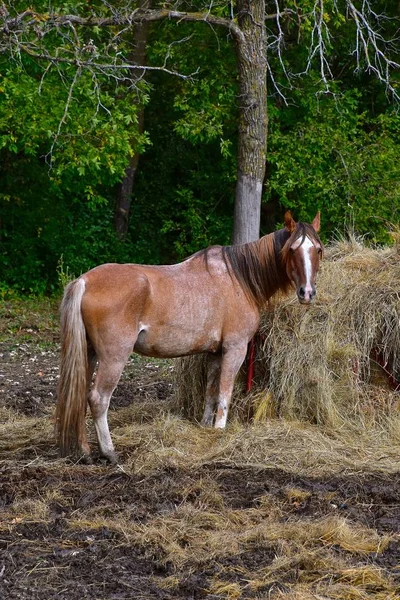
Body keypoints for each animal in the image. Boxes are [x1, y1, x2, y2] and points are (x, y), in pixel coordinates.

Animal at [55, 212, 322, 464]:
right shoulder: (234, 349)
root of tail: (84, 281)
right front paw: (220, 431)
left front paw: (205, 427)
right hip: (114, 358)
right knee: (98, 399)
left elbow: (211, 393)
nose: (307, 293)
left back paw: (85, 451)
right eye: (292, 249)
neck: (238, 279)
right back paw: (109, 452)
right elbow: (224, 394)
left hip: (89, 354)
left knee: (80, 396)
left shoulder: (215, 353)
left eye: (318, 249)